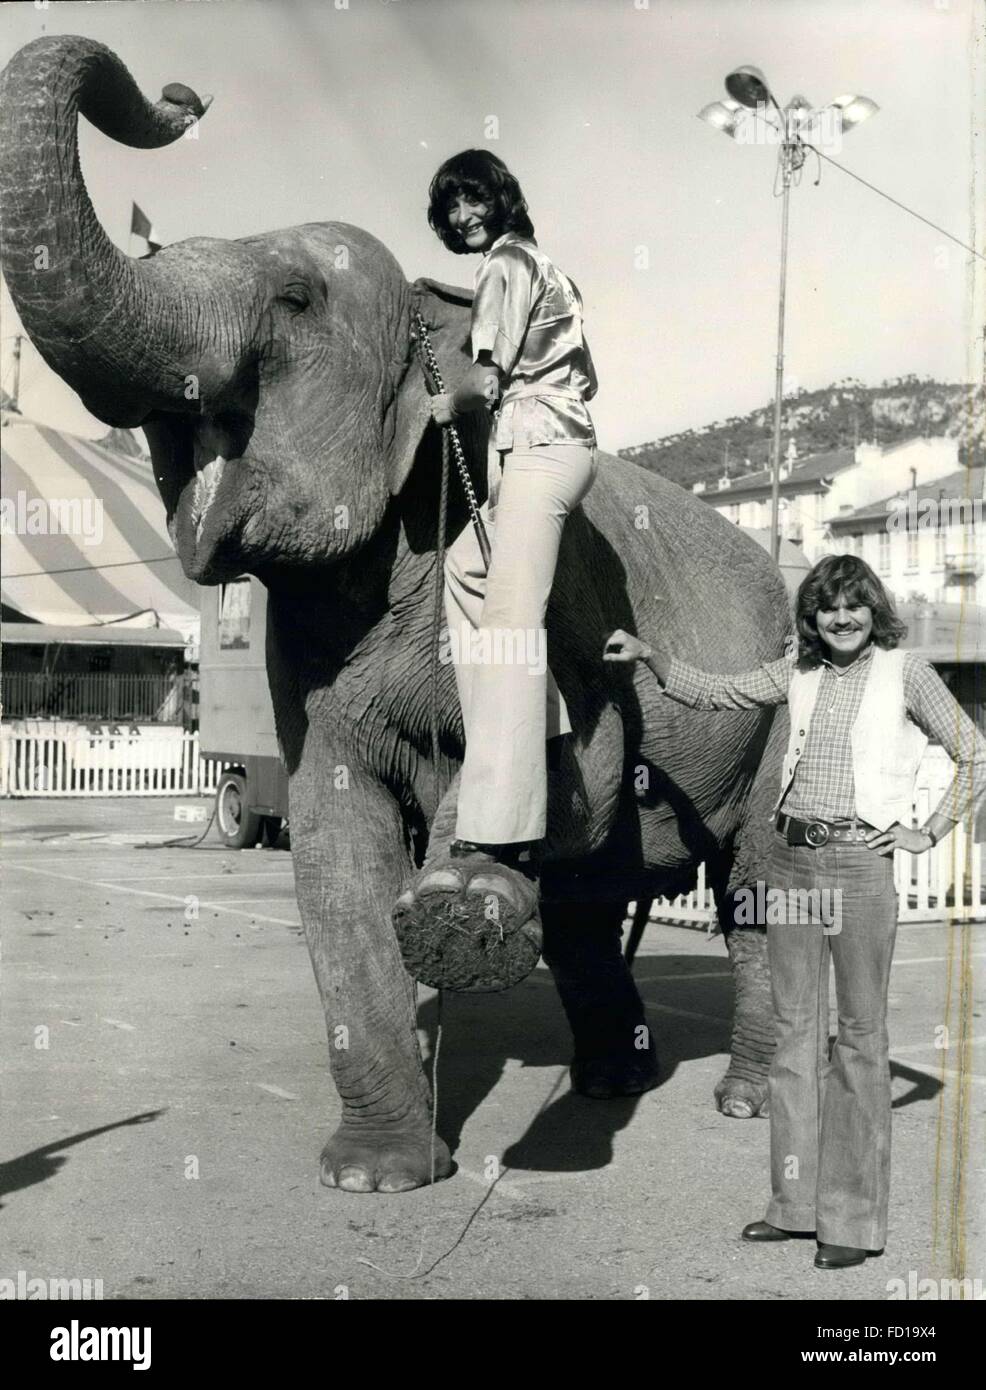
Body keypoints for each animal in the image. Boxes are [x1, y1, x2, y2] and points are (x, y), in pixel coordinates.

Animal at [0, 35, 789, 1195]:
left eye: (292, 297)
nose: (184, 93)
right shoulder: (306, 671)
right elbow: (331, 844)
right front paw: (374, 1176)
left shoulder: (556, 600)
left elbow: (582, 762)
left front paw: (456, 902)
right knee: (592, 908)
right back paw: (611, 1082)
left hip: (778, 713)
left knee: (758, 890)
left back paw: (742, 1100)